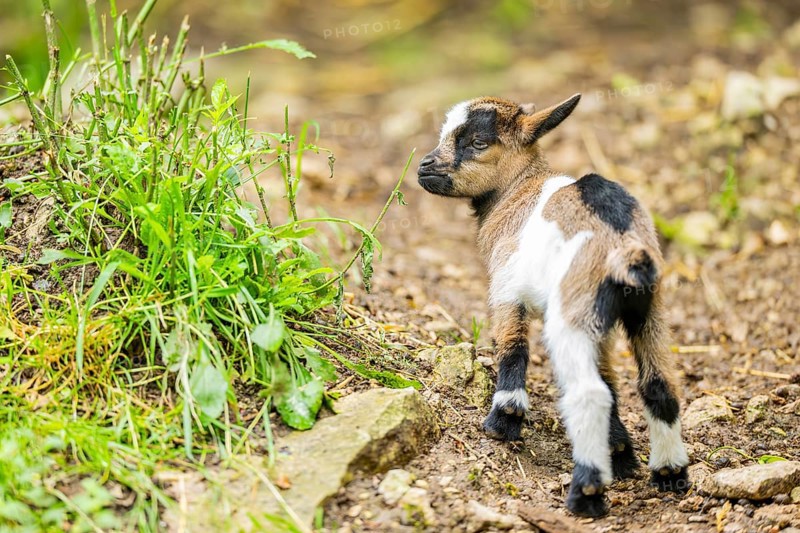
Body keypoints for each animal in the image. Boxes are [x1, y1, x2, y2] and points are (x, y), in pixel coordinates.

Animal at [417, 95, 690, 517]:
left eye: (478, 142)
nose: (424, 167)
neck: (518, 191)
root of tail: (626, 245)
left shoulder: (505, 286)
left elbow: (512, 348)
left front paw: (504, 420)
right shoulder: (601, 329)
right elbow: (610, 378)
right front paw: (621, 453)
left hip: (571, 313)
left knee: (589, 394)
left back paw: (586, 493)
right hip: (649, 310)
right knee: (659, 384)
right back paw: (670, 474)